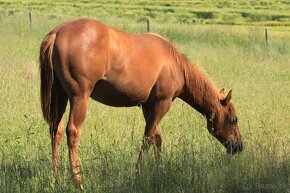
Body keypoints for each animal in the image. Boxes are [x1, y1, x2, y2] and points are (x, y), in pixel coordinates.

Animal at [38, 18, 242, 190]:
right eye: (234, 120)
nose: (239, 147)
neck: (175, 63)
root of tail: (57, 32)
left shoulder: (148, 106)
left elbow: (157, 137)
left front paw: (161, 169)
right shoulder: (161, 103)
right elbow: (148, 138)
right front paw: (138, 172)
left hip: (60, 97)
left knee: (56, 131)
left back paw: (56, 178)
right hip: (79, 97)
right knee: (72, 132)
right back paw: (79, 182)